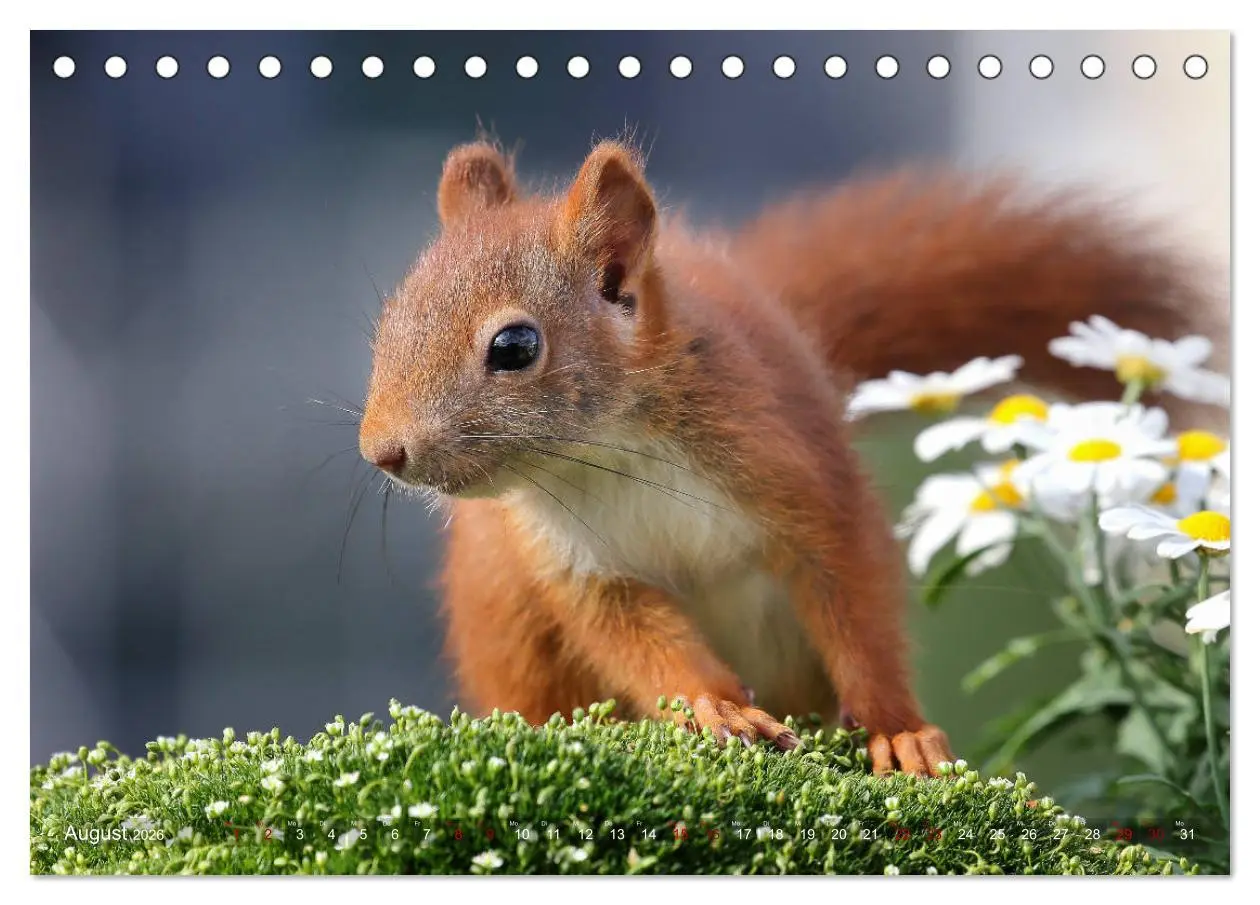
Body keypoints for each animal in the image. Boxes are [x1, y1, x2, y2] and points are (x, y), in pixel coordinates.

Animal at [357, 139, 1224, 775]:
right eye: (390, 320)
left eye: (514, 346)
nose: (382, 451)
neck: (609, 453)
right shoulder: (577, 565)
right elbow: (639, 643)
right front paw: (715, 707)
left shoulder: (802, 476)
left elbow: (856, 601)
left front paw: (898, 729)